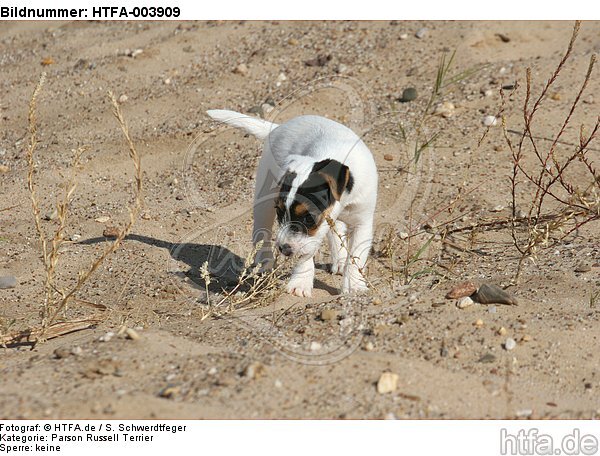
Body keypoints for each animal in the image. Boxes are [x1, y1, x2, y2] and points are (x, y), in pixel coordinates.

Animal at [205, 109, 376, 296]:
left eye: (308, 218)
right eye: (280, 212)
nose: (284, 249)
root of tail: (277, 127)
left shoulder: (362, 221)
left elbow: (356, 255)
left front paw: (353, 285)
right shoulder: (308, 236)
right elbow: (305, 254)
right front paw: (300, 283)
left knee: (335, 228)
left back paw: (339, 257)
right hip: (263, 199)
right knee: (261, 232)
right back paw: (264, 263)